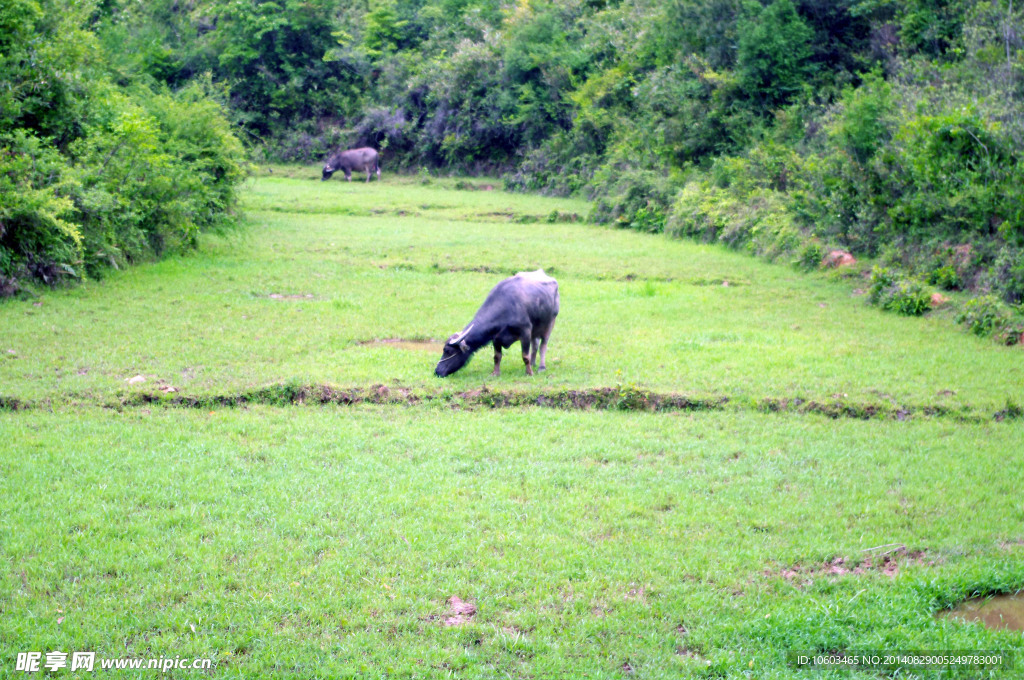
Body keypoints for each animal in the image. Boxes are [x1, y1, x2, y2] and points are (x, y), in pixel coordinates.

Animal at [432, 270, 561, 376]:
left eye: (448, 351)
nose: (437, 371)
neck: (505, 308)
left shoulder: (525, 333)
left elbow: (525, 356)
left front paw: (529, 372)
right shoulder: (495, 338)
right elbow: (497, 356)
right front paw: (495, 373)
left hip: (550, 323)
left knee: (543, 345)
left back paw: (541, 367)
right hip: (536, 327)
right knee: (535, 344)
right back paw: (534, 363)